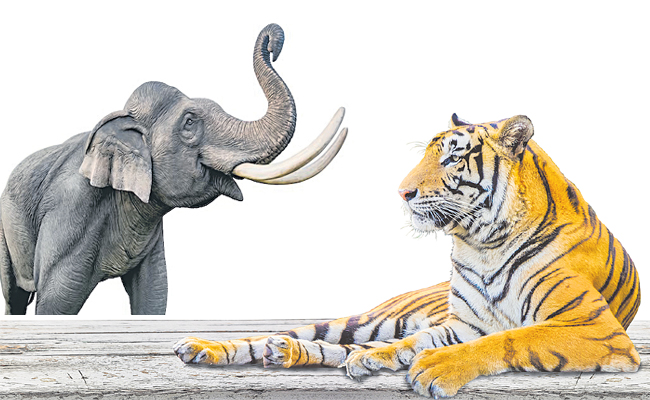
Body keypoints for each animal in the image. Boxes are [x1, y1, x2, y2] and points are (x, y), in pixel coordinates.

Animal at [173, 114, 641, 398]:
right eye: (427, 155)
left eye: (452, 158)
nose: (402, 192)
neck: (483, 244)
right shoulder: (463, 324)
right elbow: (419, 342)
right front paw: (405, 359)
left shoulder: (595, 328)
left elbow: (509, 338)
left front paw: (434, 367)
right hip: (366, 318)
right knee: (294, 337)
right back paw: (208, 347)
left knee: (348, 347)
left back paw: (292, 353)